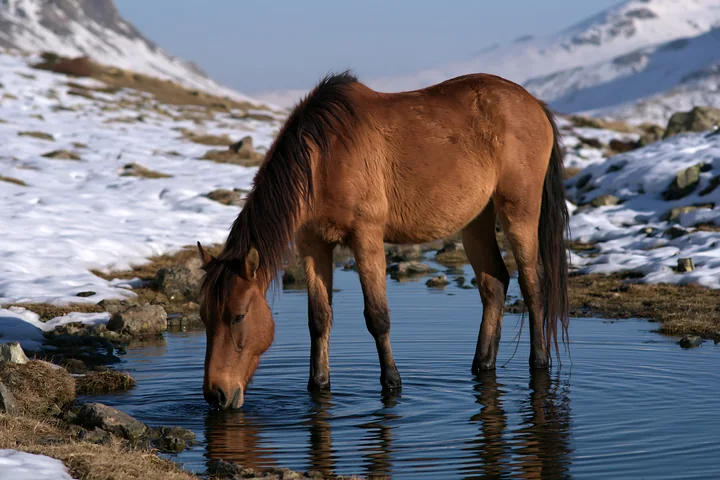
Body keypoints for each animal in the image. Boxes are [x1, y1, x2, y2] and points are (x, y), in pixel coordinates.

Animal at [196, 70, 570, 409]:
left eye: (238, 317)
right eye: (204, 316)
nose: (216, 394)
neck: (326, 158)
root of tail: (534, 104)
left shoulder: (367, 237)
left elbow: (377, 316)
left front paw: (392, 383)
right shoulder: (313, 244)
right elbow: (318, 318)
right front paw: (318, 384)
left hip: (518, 210)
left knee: (532, 284)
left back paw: (539, 363)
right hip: (476, 220)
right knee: (494, 284)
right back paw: (483, 365)